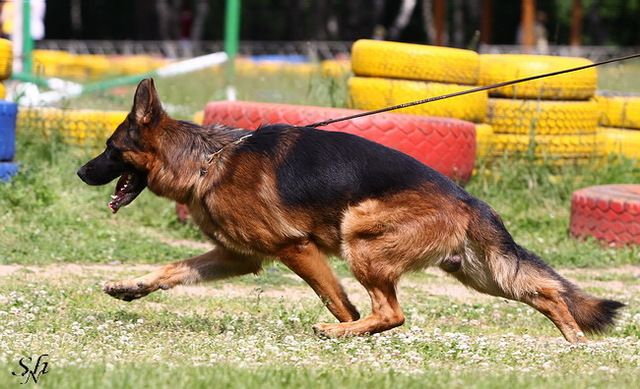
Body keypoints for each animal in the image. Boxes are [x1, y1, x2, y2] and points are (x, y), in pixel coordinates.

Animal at [77, 79, 624, 342]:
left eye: (109, 148)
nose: (80, 172)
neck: (206, 160)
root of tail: (468, 198)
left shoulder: (293, 247)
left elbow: (336, 299)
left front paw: (344, 325)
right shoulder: (239, 257)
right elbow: (171, 269)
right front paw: (131, 287)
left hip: (358, 234)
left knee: (392, 312)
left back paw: (345, 333)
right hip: (478, 273)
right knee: (544, 290)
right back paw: (575, 338)